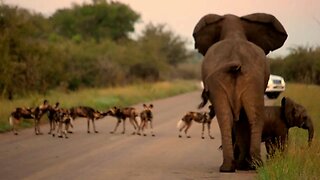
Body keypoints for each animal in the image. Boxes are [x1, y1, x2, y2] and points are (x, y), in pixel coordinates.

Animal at [194, 13, 288, 172]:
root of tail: (235, 61)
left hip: (243, 81)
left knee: (233, 117)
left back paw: (238, 166)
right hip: (248, 81)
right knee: (249, 117)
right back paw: (247, 165)